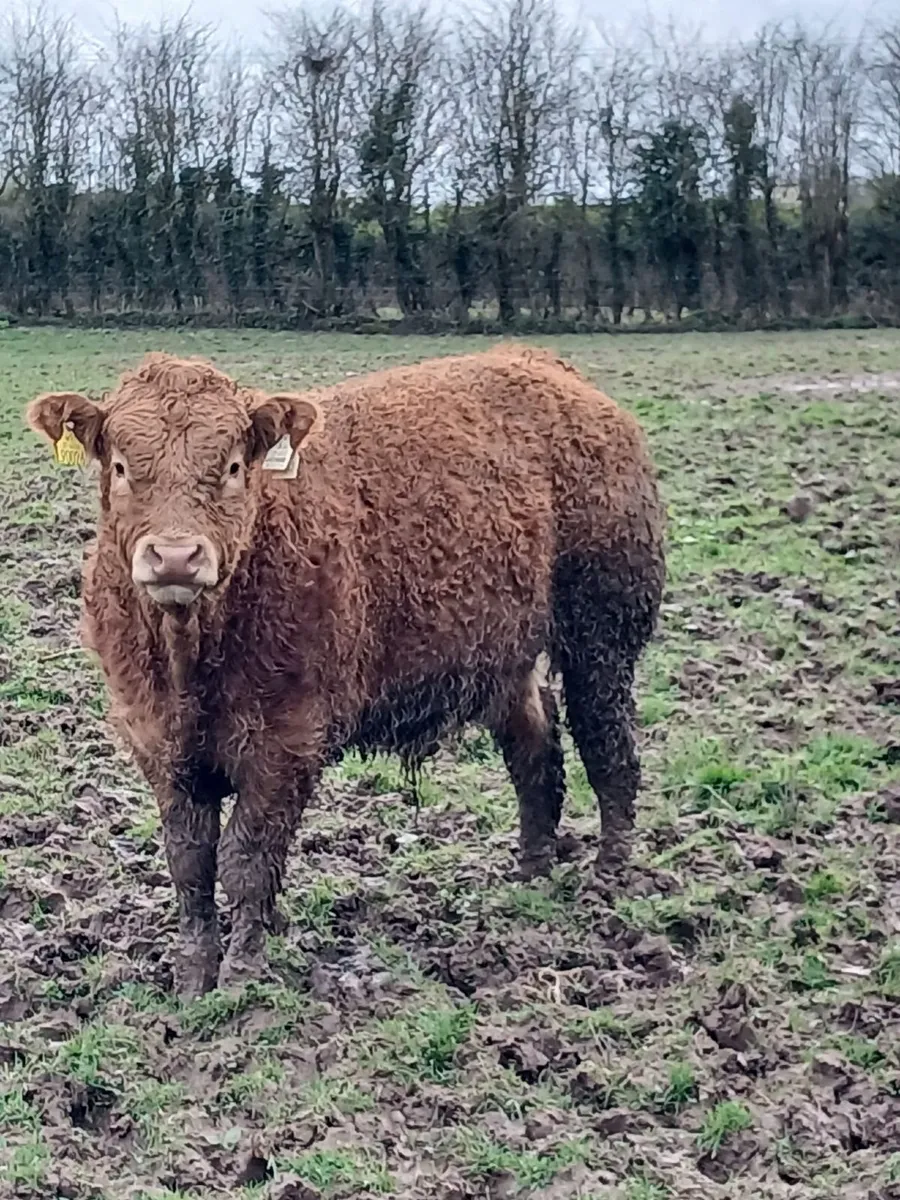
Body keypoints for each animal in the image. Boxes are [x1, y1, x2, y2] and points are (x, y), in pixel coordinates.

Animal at [26, 345, 665, 998]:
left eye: (232, 466)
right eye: (121, 466)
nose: (176, 557)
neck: (191, 658)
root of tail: (538, 361)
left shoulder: (287, 742)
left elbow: (246, 862)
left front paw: (241, 979)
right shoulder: (159, 744)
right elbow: (189, 863)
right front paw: (193, 978)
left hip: (602, 629)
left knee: (608, 746)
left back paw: (609, 875)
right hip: (505, 658)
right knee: (536, 752)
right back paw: (532, 875)